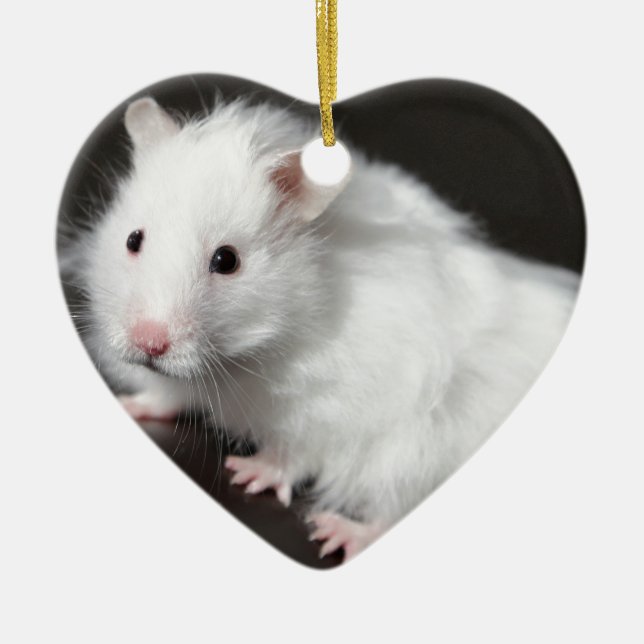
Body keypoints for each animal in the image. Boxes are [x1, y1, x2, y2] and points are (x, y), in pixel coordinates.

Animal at [66, 96, 580, 561]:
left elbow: (295, 452)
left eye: (227, 260)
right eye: (133, 239)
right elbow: (166, 394)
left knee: (389, 507)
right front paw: (130, 405)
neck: (245, 357)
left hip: (419, 451)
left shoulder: (340, 410)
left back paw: (336, 535)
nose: (148, 343)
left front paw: (247, 472)